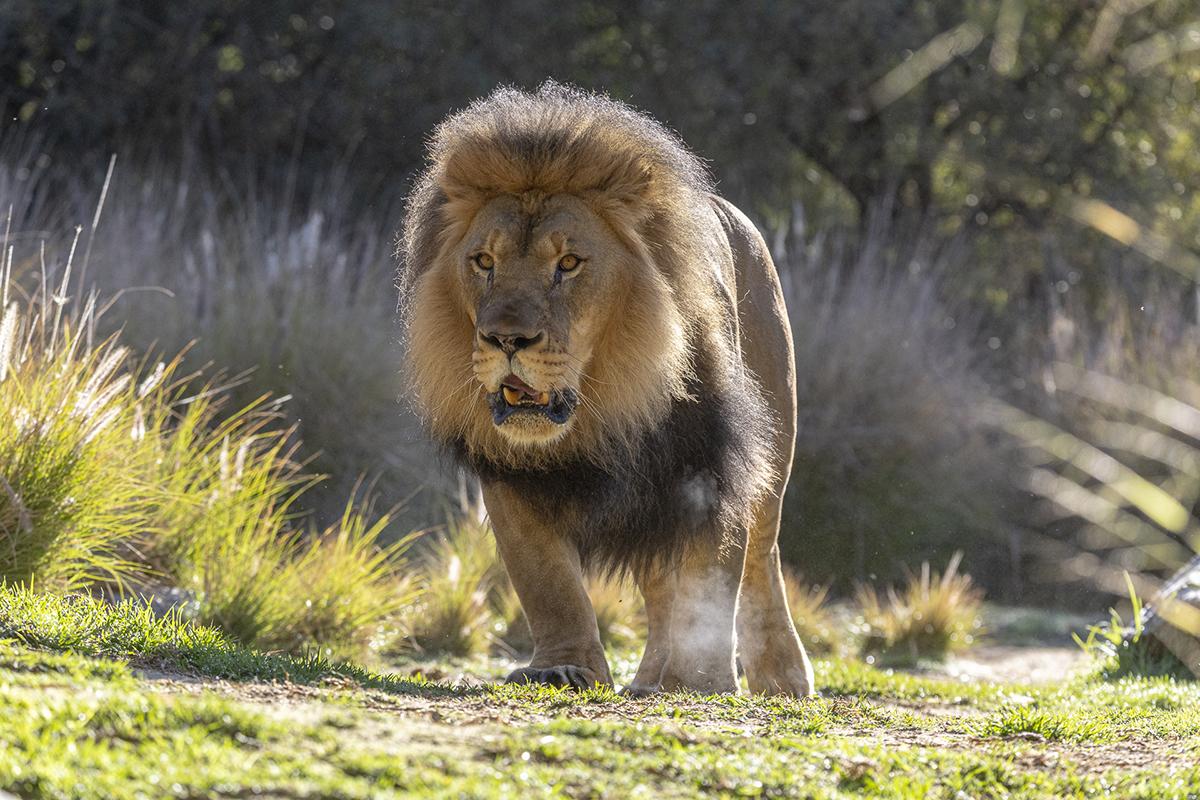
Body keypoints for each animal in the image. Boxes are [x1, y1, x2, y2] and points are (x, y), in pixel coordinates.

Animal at [398, 82, 813, 696]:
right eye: (483, 261)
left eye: (569, 263)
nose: (506, 339)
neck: (606, 402)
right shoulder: (512, 476)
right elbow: (547, 582)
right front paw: (564, 667)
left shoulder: (710, 466)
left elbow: (712, 580)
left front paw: (700, 681)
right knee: (660, 583)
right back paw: (648, 680)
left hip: (771, 449)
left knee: (762, 557)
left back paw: (781, 679)